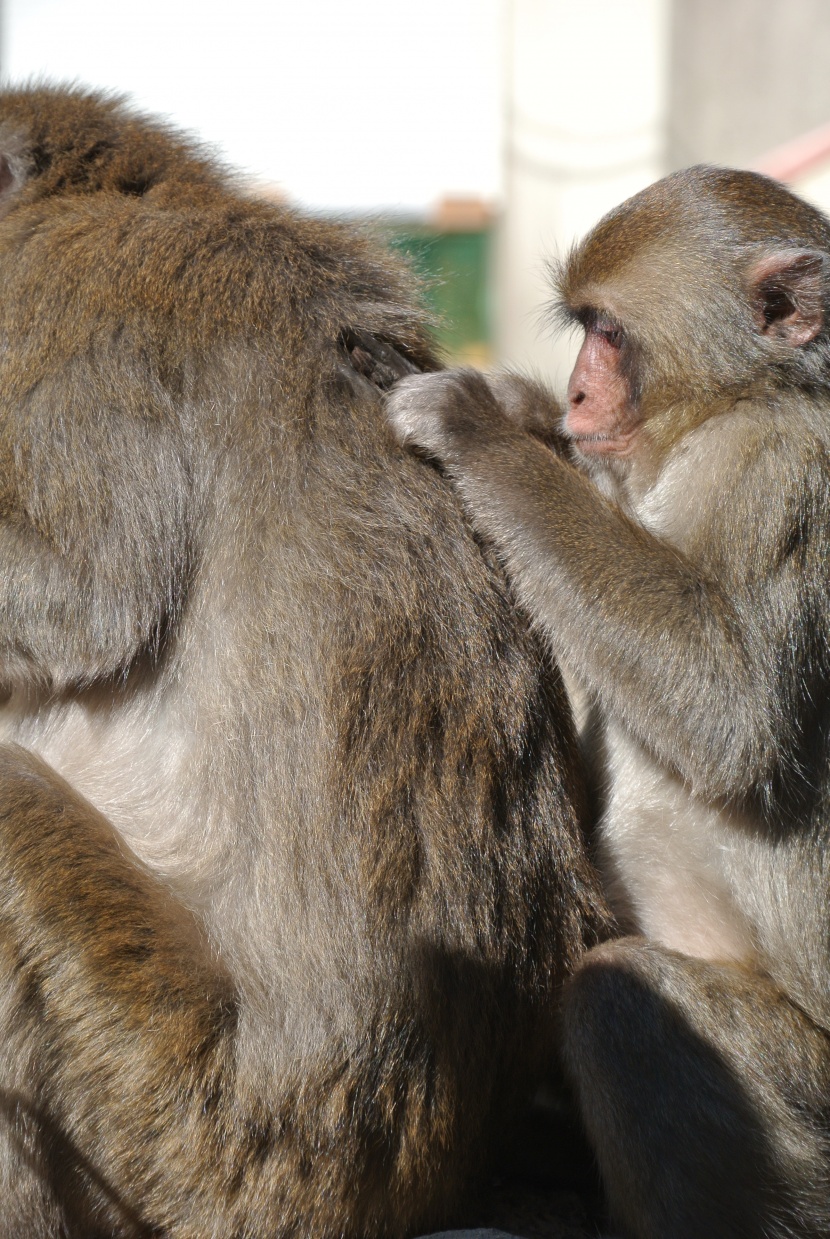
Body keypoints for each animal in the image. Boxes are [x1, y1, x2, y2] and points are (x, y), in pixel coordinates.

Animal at [386, 167, 830, 1239]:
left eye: (612, 333)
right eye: (580, 328)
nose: (580, 391)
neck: (726, 406)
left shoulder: (778, 470)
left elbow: (726, 701)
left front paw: (478, 426)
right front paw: (522, 408)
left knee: (622, 1001)